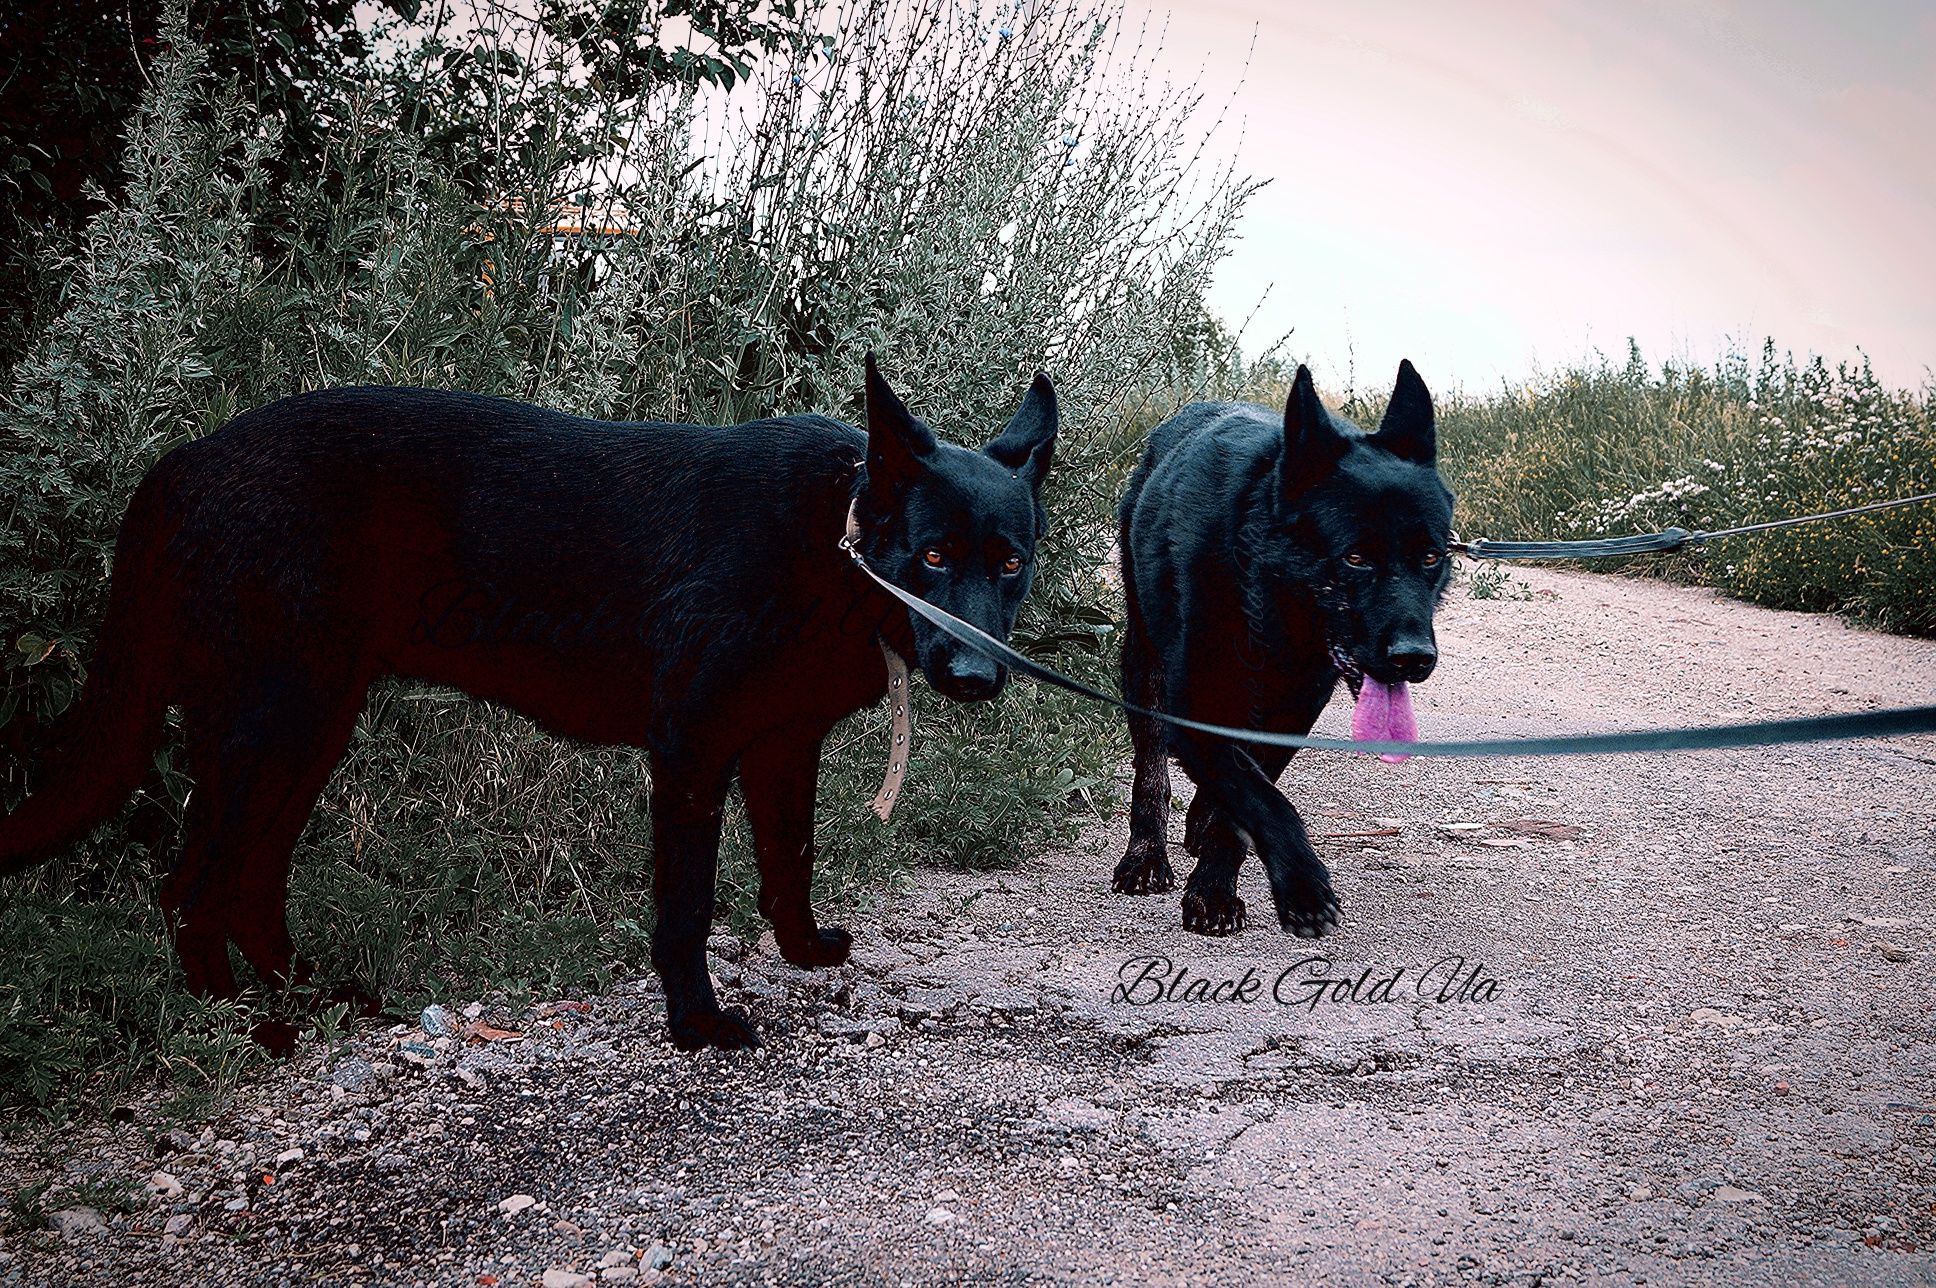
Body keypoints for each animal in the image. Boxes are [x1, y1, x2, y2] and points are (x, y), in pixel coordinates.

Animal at [1107, 358, 1455, 933]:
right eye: (1355, 558)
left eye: (1430, 557)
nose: (1414, 658)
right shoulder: (1193, 705)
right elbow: (1261, 798)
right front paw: (1301, 882)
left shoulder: (1292, 714)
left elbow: (1249, 794)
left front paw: (1213, 885)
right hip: (1145, 665)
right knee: (1152, 766)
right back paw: (1146, 855)